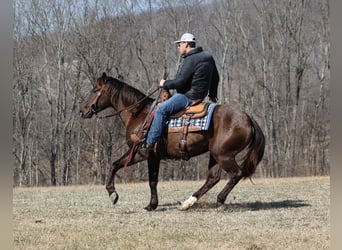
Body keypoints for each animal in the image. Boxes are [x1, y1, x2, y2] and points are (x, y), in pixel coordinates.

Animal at [79, 72, 264, 211]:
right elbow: (137, 174)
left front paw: (116, 195)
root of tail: (248, 118)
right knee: (213, 178)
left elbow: (127, 170)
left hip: (224, 155)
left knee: (236, 174)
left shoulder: (142, 153)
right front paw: (149, 204)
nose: (82, 110)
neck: (138, 114)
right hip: (216, 155)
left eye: (95, 89)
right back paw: (187, 203)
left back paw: (219, 199)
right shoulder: (149, 156)